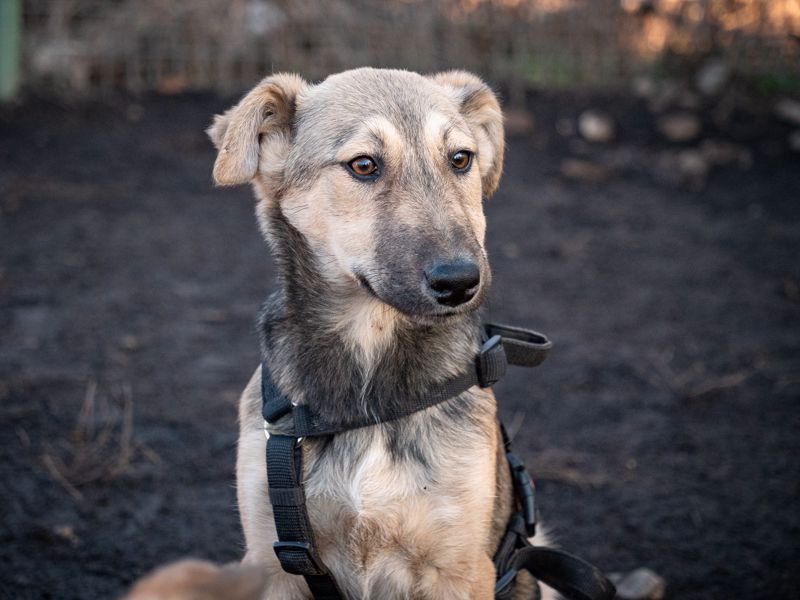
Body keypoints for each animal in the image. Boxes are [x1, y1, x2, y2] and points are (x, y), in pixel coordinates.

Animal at [128, 68, 552, 596]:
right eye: (364, 165)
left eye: (461, 158)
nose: (460, 281)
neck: (367, 376)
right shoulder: (273, 562)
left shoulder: (460, 567)